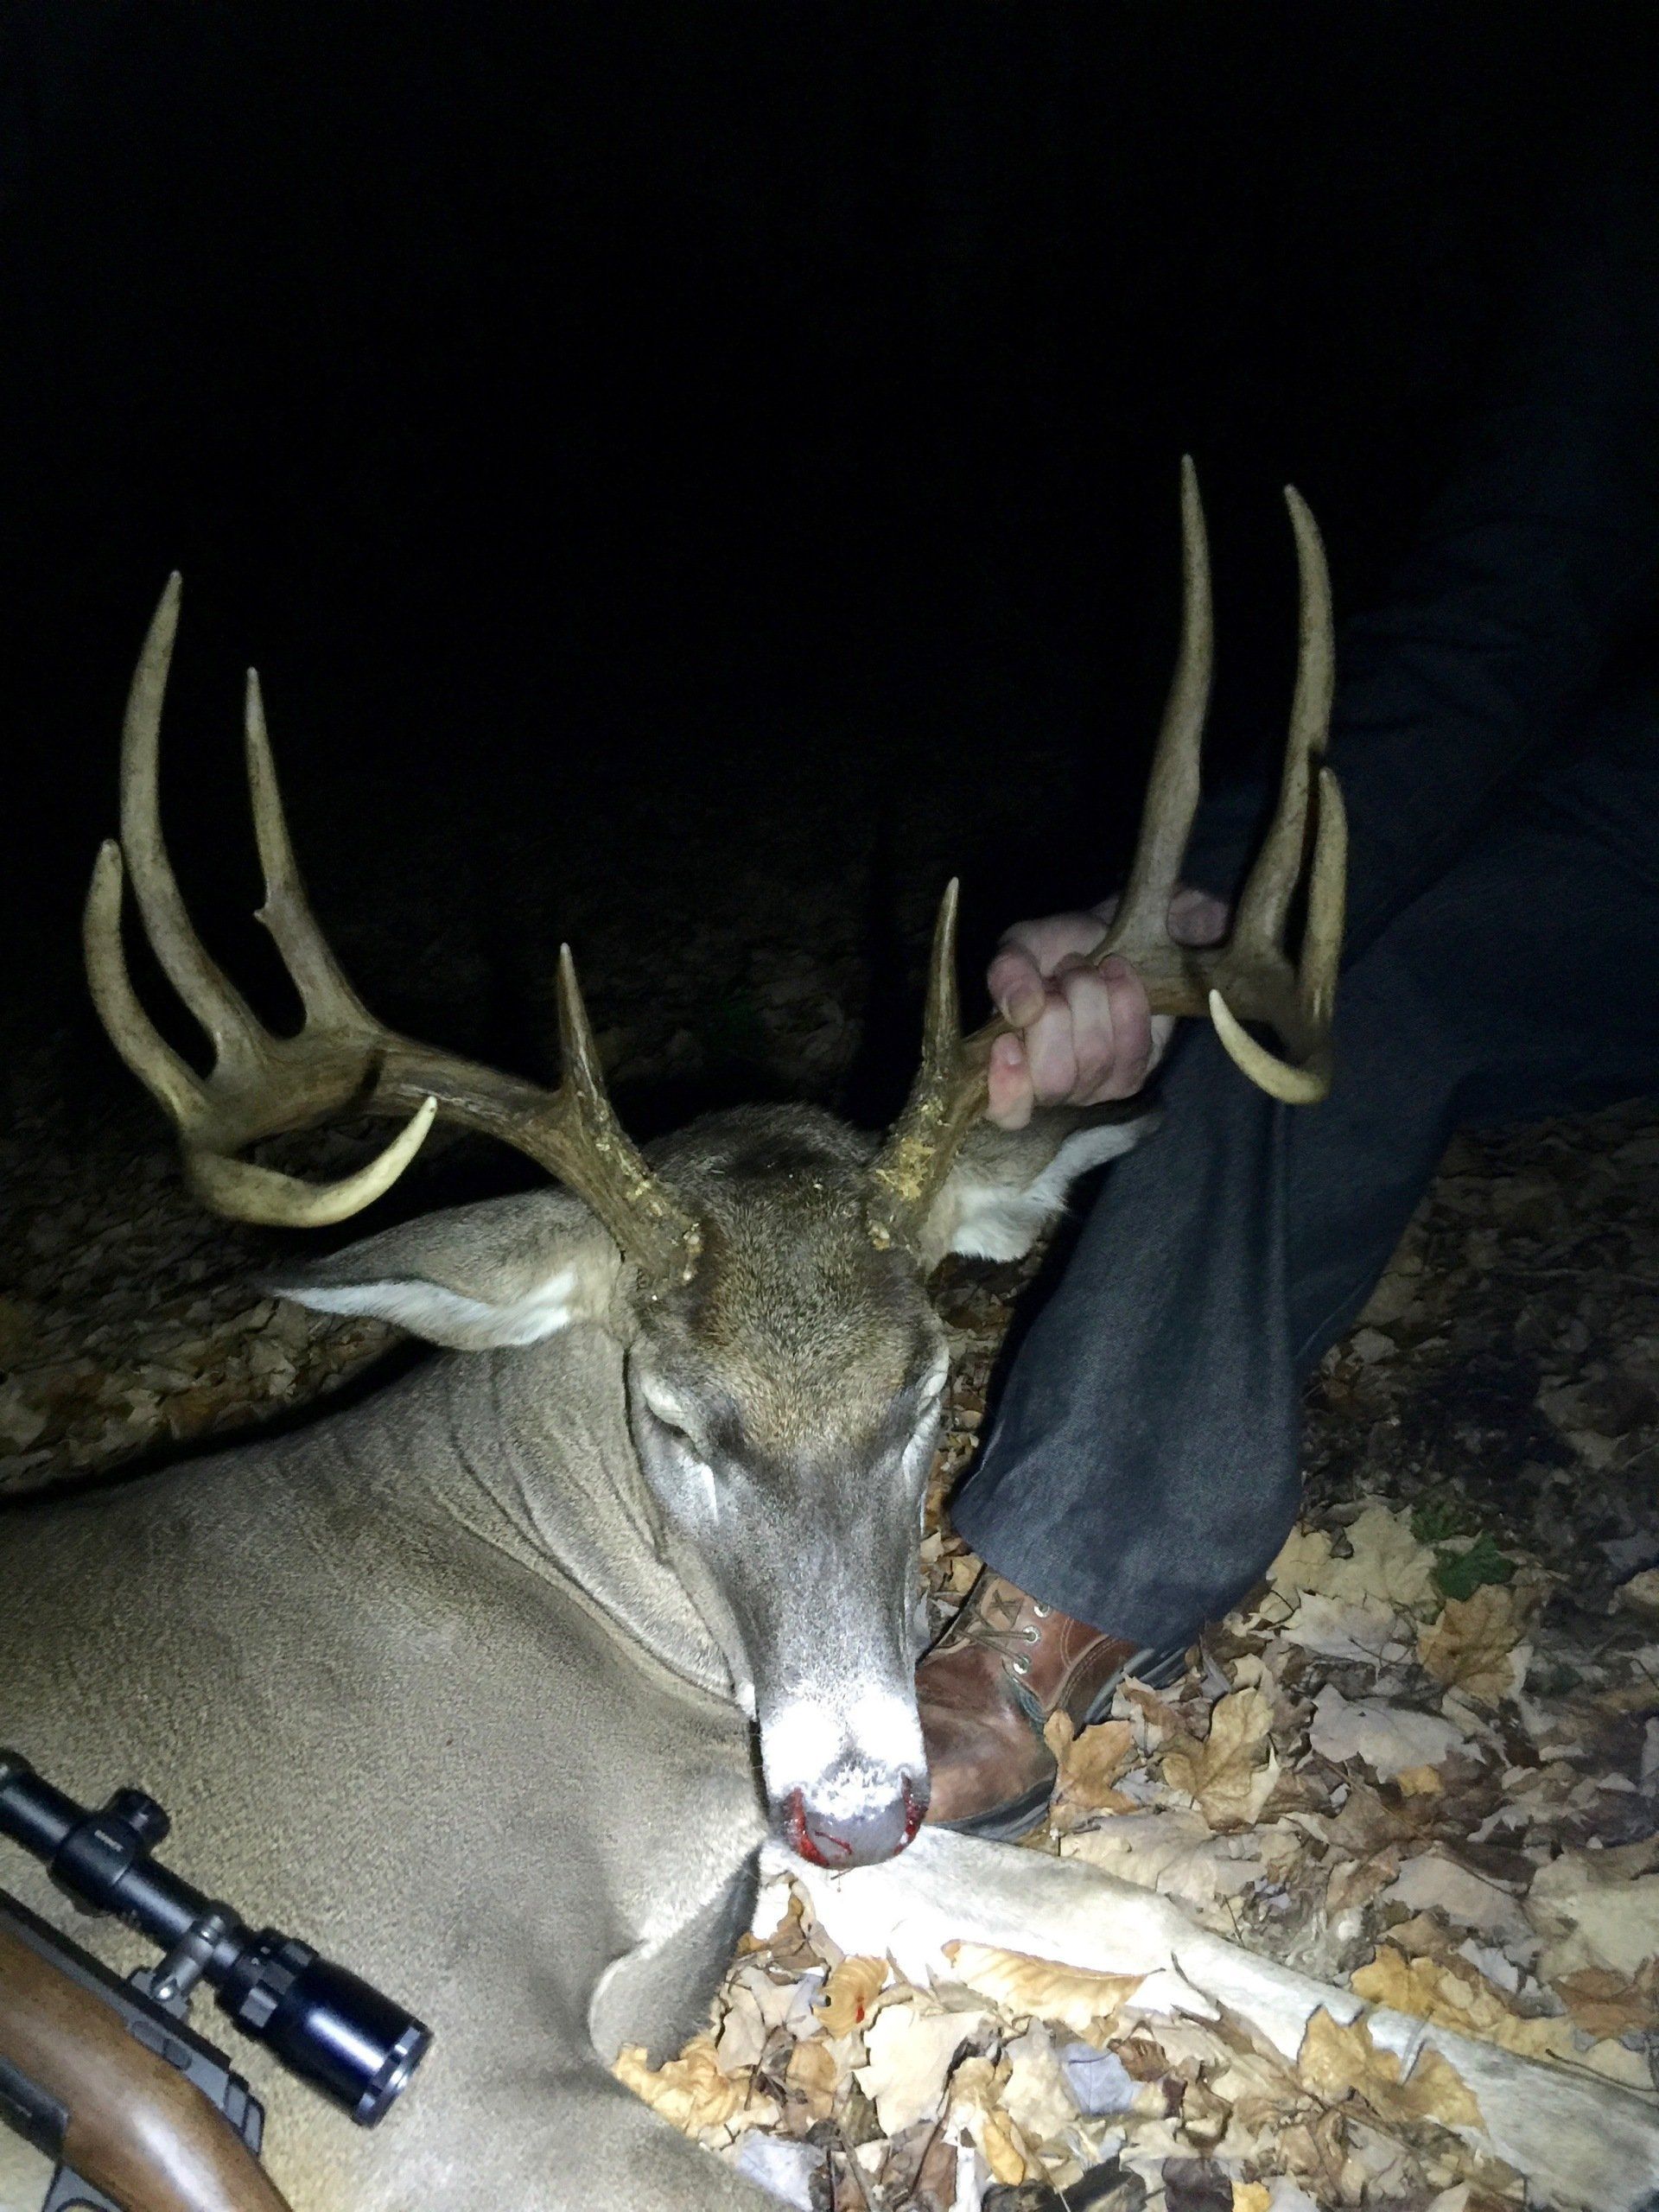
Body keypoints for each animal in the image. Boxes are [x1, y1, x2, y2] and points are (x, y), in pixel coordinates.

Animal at [4, 465, 1655, 2212]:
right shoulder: (433, 2075)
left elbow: (1133, 1907)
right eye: (672, 1416)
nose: (859, 1806)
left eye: (929, 1384)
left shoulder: (776, 1842)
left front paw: (1590, 2119)